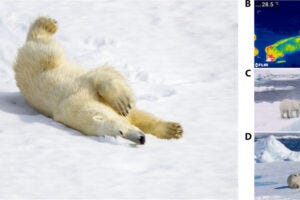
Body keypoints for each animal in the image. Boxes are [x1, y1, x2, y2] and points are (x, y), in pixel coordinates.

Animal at [13, 16, 183, 144]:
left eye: (121, 131)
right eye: (118, 135)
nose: (141, 139)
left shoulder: (81, 88)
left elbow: (100, 76)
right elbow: (137, 117)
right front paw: (173, 130)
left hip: (44, 63)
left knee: (47, 49)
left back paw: (48, 24)